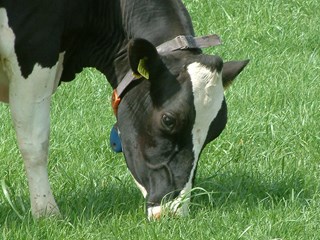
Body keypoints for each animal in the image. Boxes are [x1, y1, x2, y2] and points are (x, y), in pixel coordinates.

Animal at [0, 0, 249, 219]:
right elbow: (35, 143)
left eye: (216, 130)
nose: (173, 212)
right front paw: (46, 213)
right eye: (169, 120)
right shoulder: (35, 50)